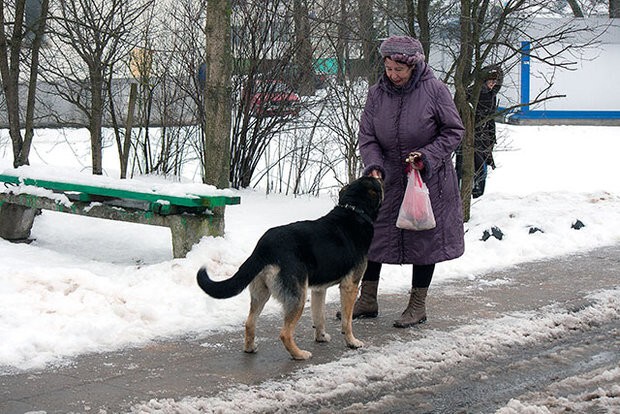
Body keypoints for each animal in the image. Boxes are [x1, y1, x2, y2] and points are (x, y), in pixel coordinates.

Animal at [197, 176, 382, 360]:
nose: (381, 176)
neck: (354, 209)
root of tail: (264, 247)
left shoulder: (319, 290)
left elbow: (319, 317)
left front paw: (321, 337)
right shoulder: (350, 286)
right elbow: (347, 321)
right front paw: (352, 342)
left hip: (262, 293)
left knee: (249, 323)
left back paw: (250, 348)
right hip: (298, 297)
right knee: (284, 333)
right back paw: (299, 354)